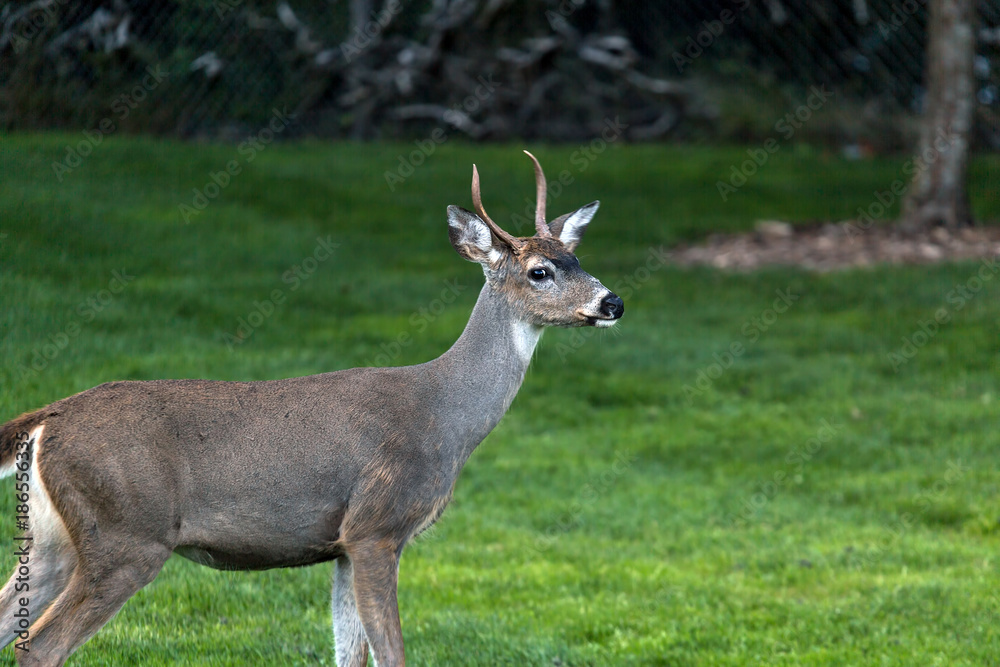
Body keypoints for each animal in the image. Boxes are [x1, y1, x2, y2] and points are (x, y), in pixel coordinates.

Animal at [0, 153, 620, 667]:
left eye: (577, 257)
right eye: (540, 271)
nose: (612, 301)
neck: (446, 417)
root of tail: (47, 420)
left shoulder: (343, 545)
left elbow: (351, 656)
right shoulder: (376, 525)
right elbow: (392, 655)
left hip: (55, 539)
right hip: (128, 532)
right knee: (41, 648)